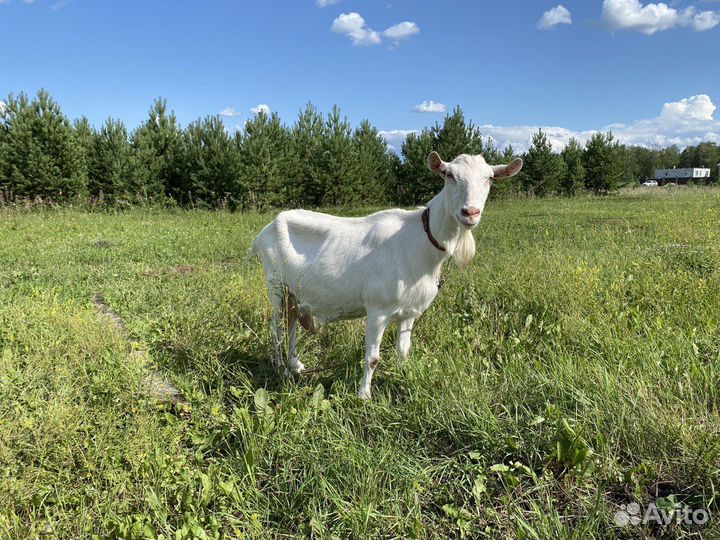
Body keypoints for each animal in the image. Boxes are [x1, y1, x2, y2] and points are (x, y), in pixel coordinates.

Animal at [248, 151, 523, 399]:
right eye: (449, 175)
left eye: (489, 178)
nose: (470, 213)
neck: (420, 241)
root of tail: (262, 234)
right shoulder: (377, 310)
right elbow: (372, 358)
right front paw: (364, 396)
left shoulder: (410, 311)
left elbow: (403, 350)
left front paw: (403, 377)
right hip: (275, 284)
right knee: (276, 326)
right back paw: (281, 368)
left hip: (295, 291)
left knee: (292, 322)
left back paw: (296, 365)